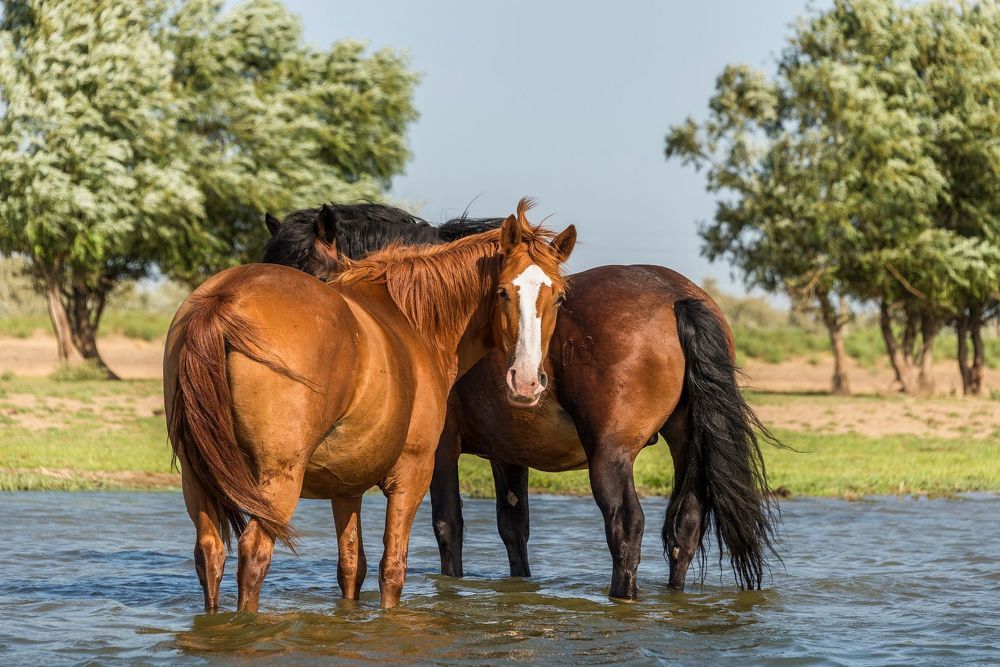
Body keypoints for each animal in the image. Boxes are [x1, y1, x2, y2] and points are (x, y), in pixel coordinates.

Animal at [164, 199, 577, 611]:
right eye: (503, 292)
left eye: (558, 297)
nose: (526, 381)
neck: (412, 320)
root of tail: (225, 299)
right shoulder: (413, 472)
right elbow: (393, 568)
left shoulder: (345, 486)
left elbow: (351, 567)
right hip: (279, 478)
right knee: (253, 554)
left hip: (197, 475)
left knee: (211, 554)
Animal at [263, 203, 779, 599]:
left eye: (312, 273)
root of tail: (675, 297)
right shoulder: (508, 452)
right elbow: (514, 529)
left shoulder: (441, 448)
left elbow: (448, 526)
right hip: (685, 441)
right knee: (685, 527)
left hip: (610, 454)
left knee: (626, 527)